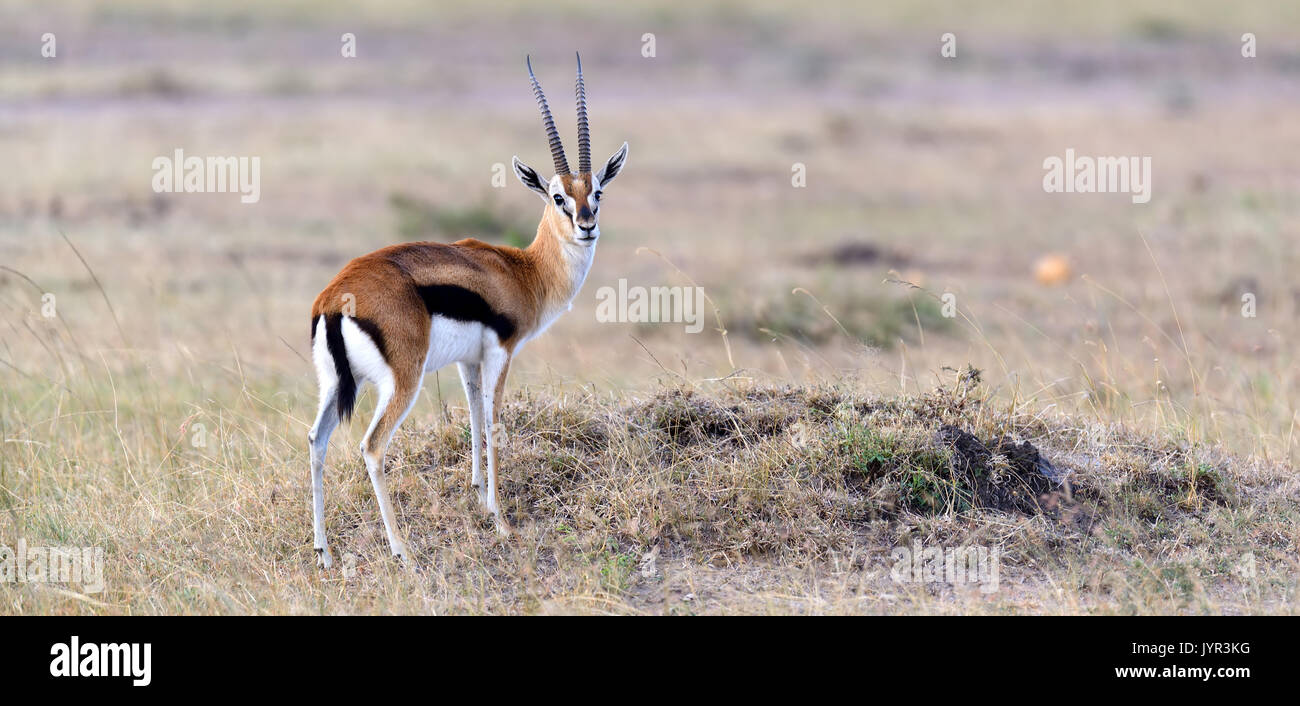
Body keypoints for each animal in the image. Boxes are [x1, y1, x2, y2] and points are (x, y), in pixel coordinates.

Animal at [307, 54, 627, 566]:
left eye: (597, 191)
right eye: (558, 196)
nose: (586, 225)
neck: (523, 270)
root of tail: (335, 299)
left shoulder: (468, 361)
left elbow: (474, 416)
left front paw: (480, 497)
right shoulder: (501, 352)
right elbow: (493, 422)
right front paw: (501, 521)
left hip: (339, 382)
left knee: (316, 442)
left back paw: (324, 552)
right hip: (402, 382)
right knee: (372, 448)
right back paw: (402, 551)